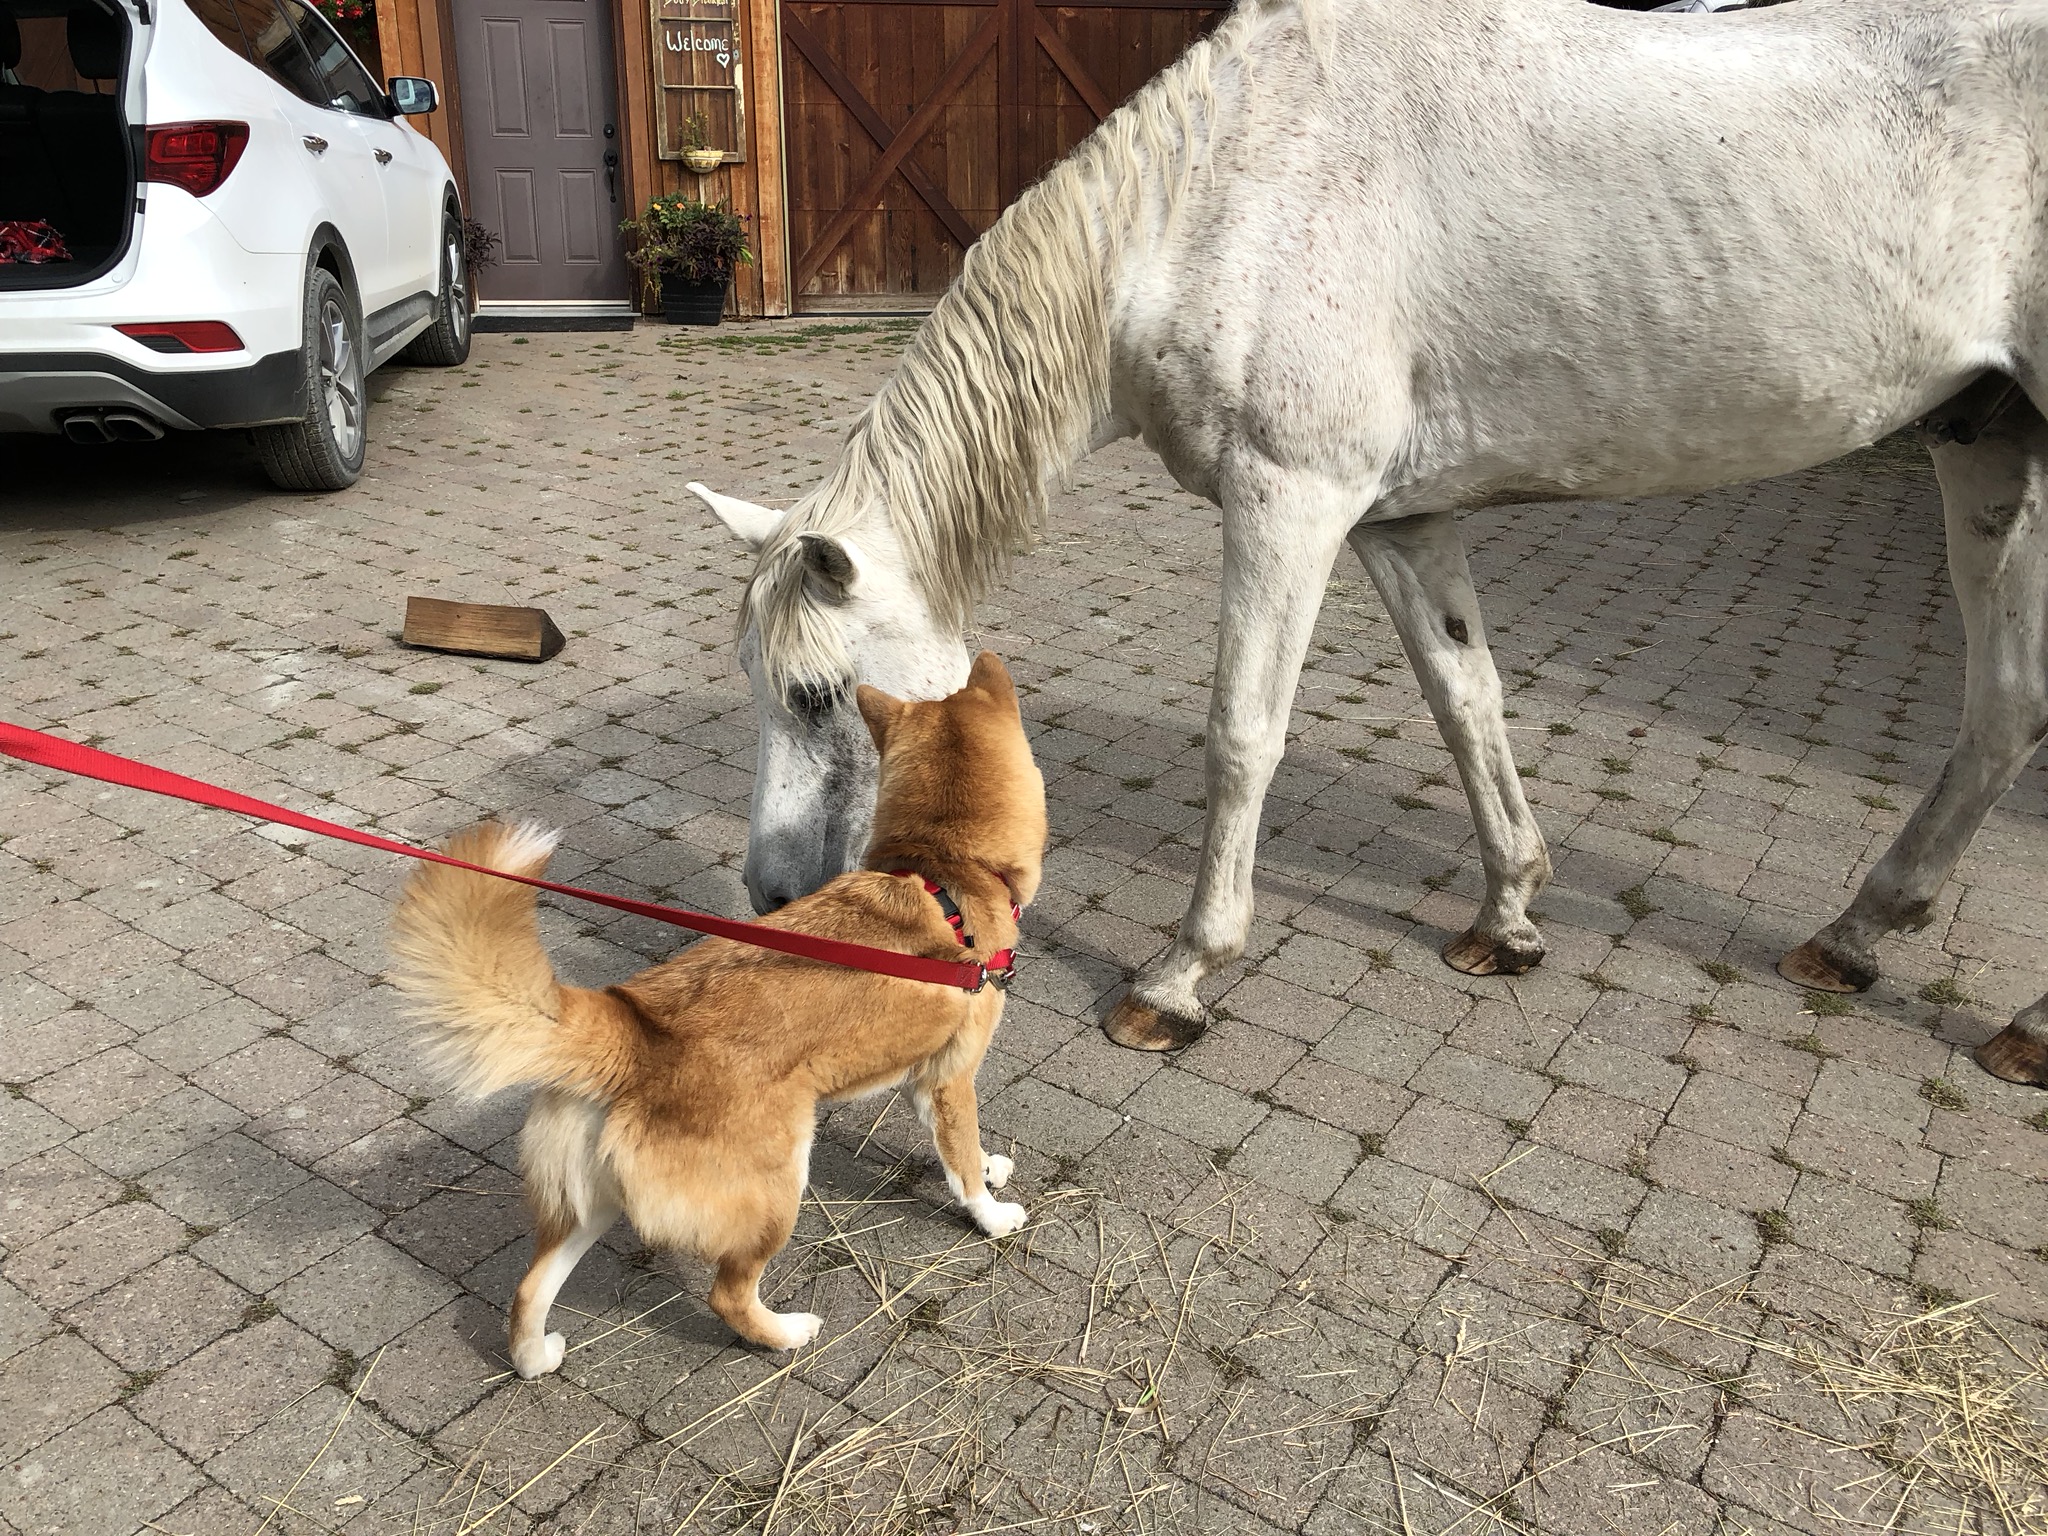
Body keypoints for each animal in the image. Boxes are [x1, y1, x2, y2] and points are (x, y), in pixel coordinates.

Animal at [689, 0, 2048, 1085]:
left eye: (816, 696)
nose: (772, 894)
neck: (1218, 194)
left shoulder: (1288, 501)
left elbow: (1242, 737)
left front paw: (1178, 979)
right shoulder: (1400, 521)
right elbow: (1466, 700)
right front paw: (1504, 917)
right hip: (1989, 447)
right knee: (2004, 709)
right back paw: (1856, 936)